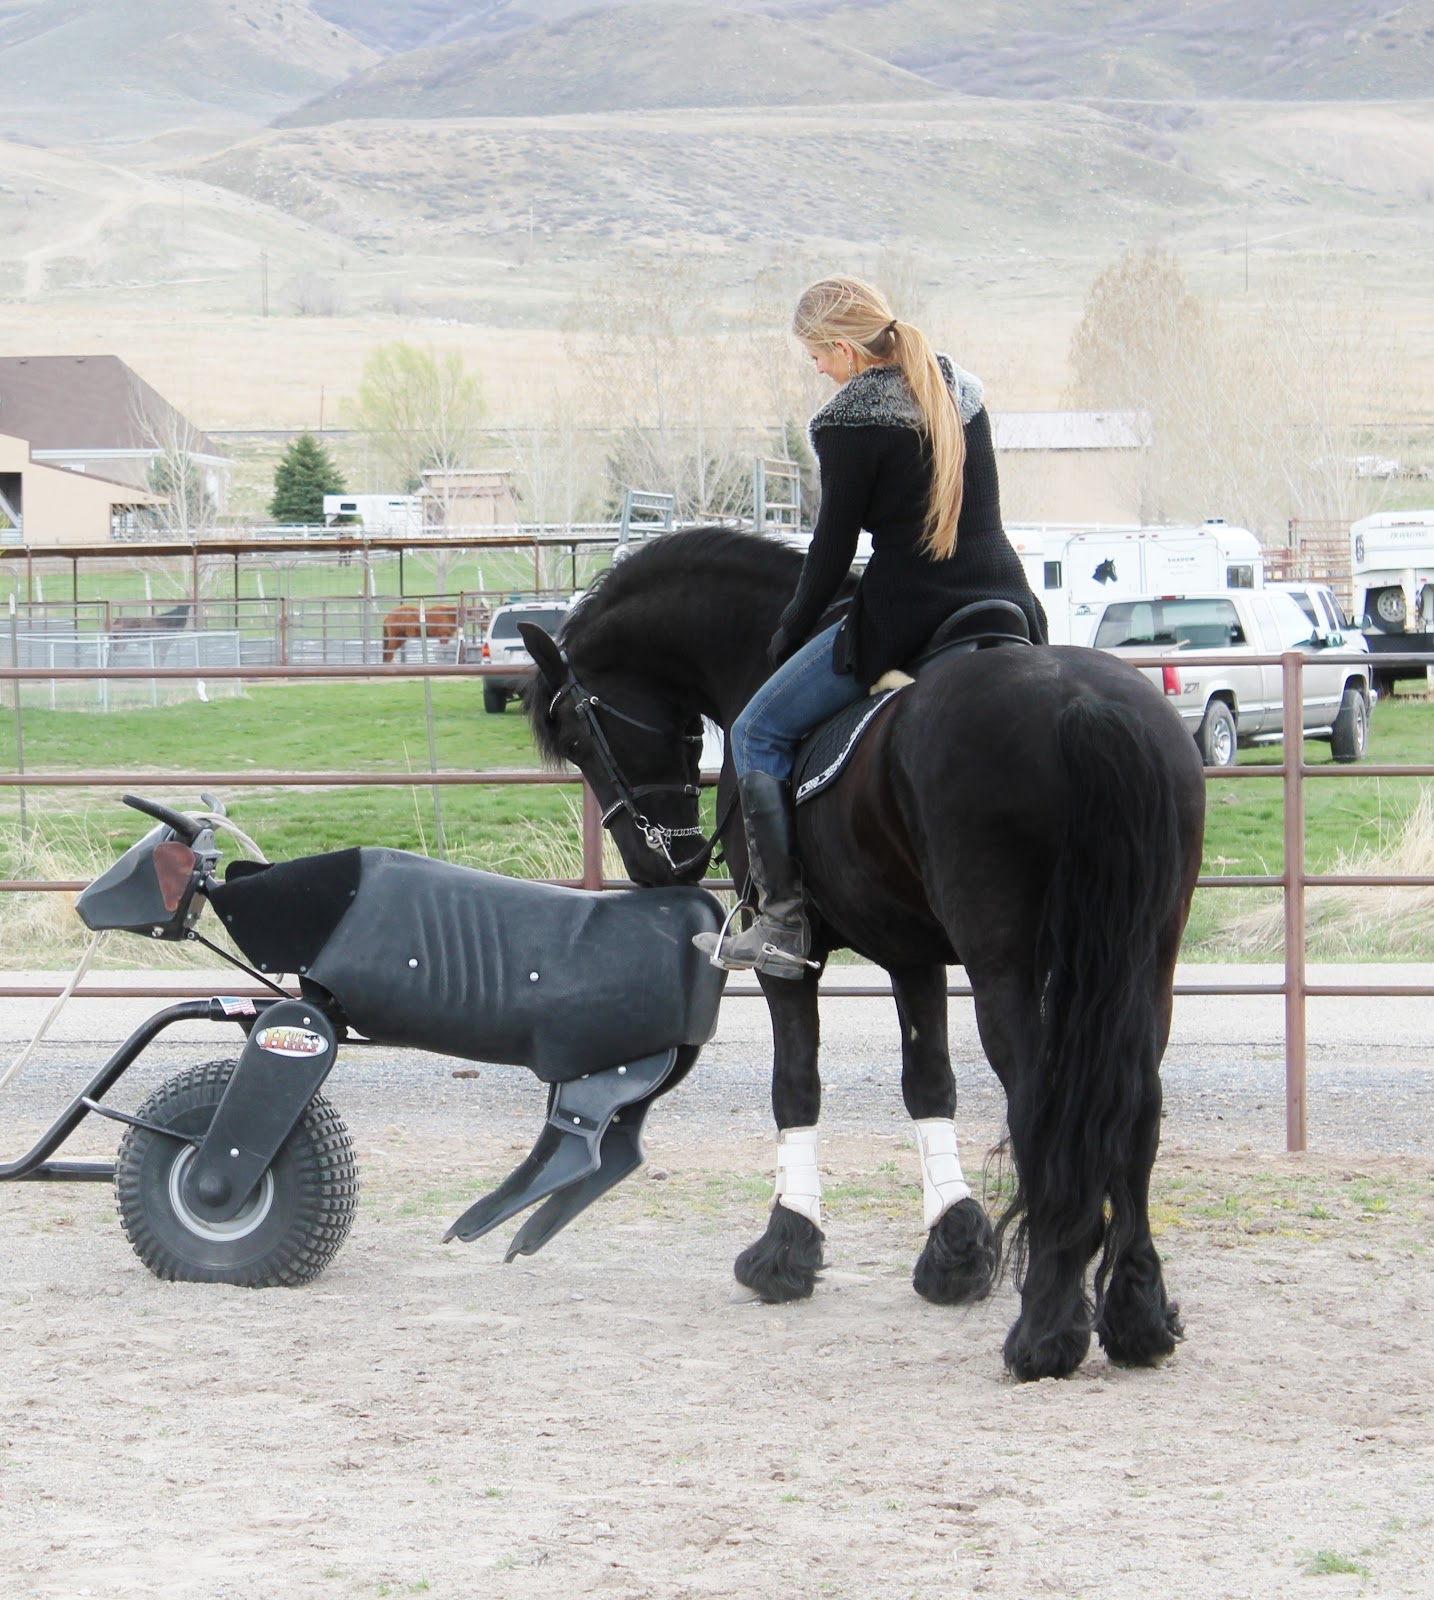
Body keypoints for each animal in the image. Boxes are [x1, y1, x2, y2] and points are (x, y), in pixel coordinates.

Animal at [521, 527, 1206, 1381]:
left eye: (581, 734)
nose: (657, 864)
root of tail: (1080, 704)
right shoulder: (912, 954)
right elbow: (929, 1083)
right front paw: (955, 1250)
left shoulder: (789, 964)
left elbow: (795, 1088)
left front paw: (785, 1248)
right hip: (1144, 966)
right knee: (1136, 1104)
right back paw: (1137, 1315)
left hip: (1008, 970)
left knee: (1044, 1104)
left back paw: (1047, 1329)